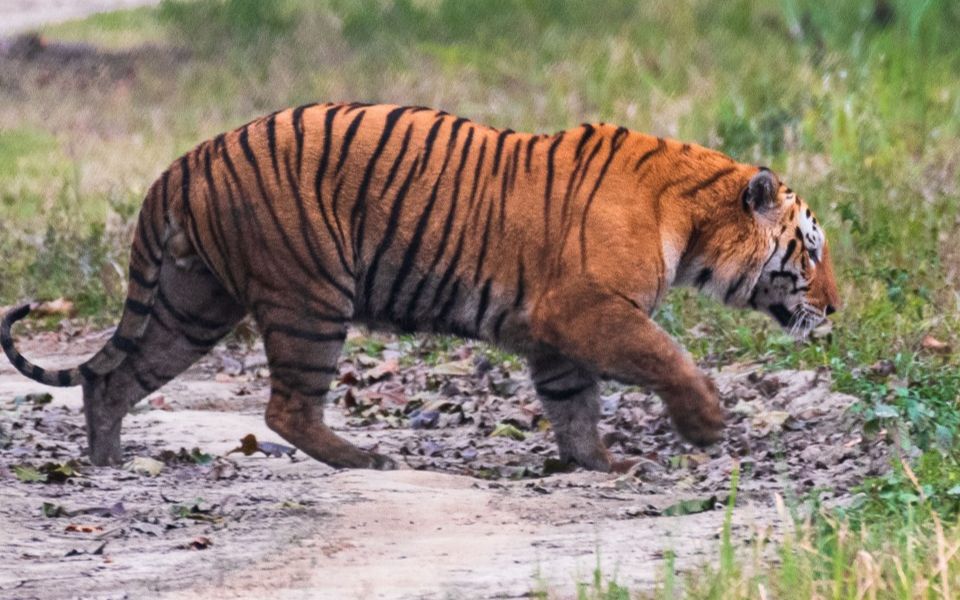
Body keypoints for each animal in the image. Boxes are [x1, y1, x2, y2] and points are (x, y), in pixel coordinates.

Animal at [1, 102, 840, 472]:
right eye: (810, 249)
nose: (838, 307)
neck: (691, 217)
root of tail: (185, 161)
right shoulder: (587, 308)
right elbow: (663, 354)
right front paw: (703, 424)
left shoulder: (555, 334)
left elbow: (573, 406)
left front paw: (597, 463)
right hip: (310, 297)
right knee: (284, 407)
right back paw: (367, 460)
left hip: (192, 301)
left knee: (114, 377)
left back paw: (110, 460)